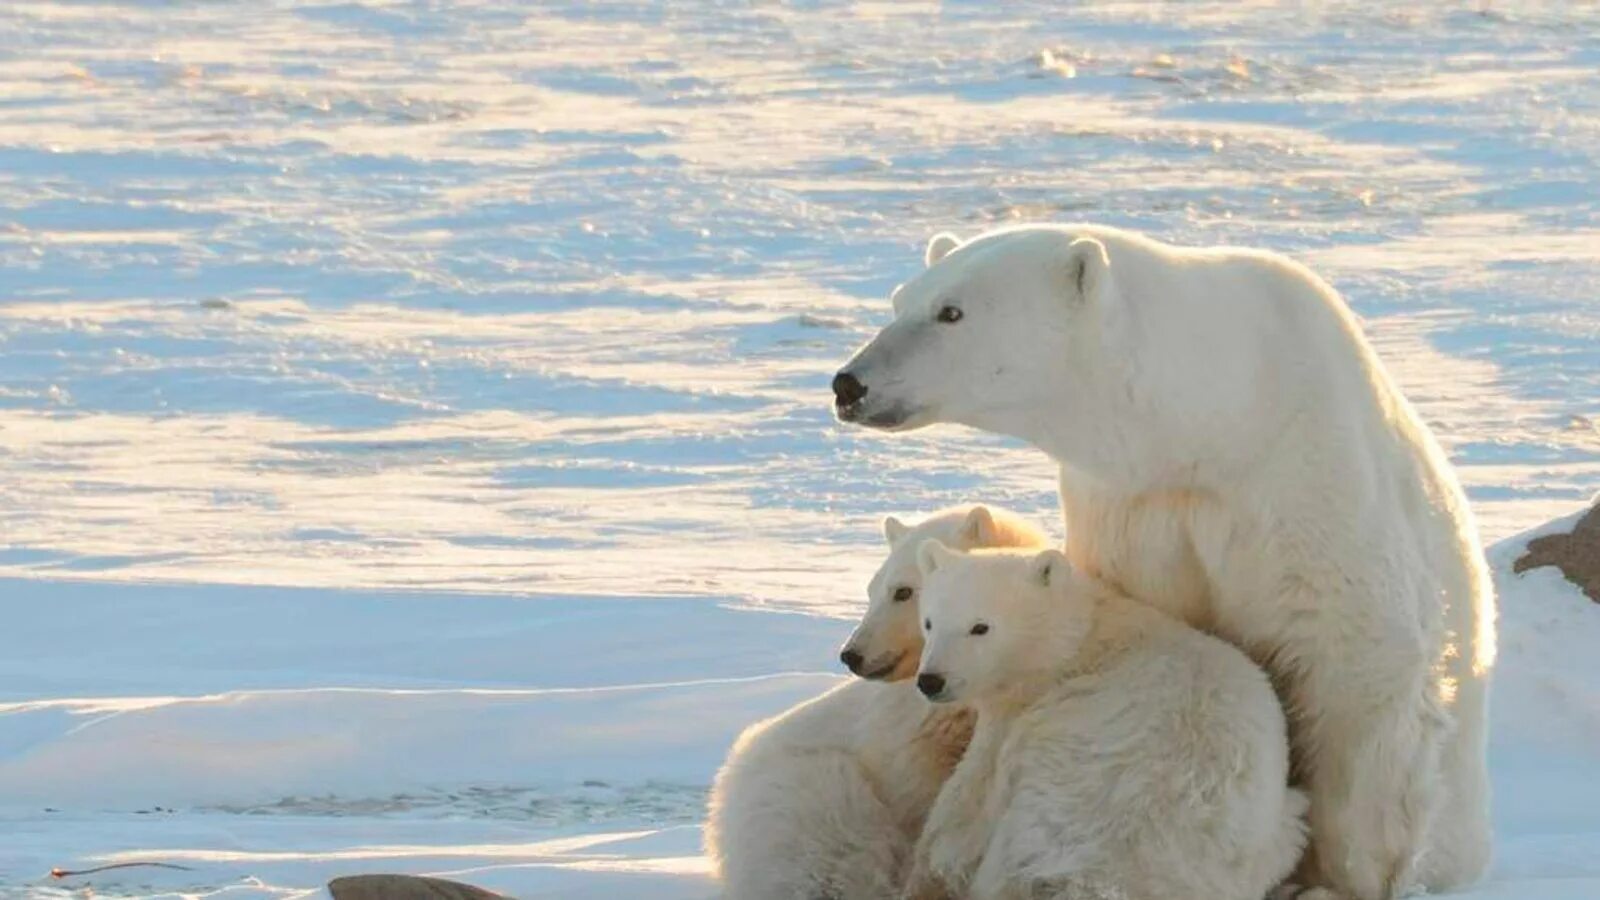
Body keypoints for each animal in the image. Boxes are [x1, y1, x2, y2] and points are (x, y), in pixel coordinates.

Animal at [902, 538, 1312, 896]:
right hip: (1272, 836)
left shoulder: (1025, 709)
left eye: (980, 627)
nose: (930, 681)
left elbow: (970, 790)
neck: (1081, 637)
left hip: (1076, 789)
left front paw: (932, 862)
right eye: (929, 622)